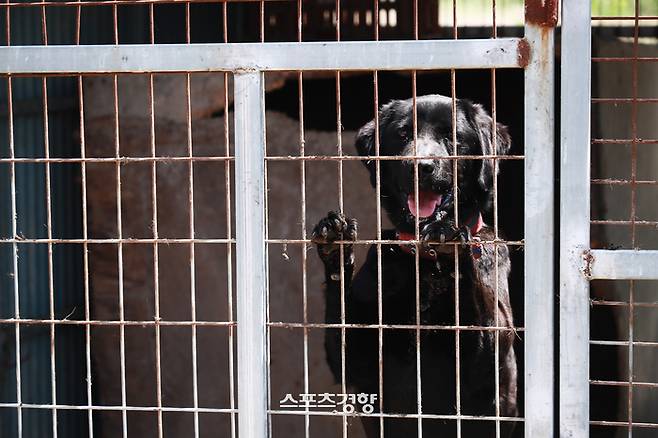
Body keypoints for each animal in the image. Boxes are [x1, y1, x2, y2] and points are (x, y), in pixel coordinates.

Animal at [310, 94, 516, 436]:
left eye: (452, 137)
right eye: (404, 134)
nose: (421, 166)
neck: (423, 262)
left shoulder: (489, 357)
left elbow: (475, 303)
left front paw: (448, 238)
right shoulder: (356, 361)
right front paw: (336, 240)